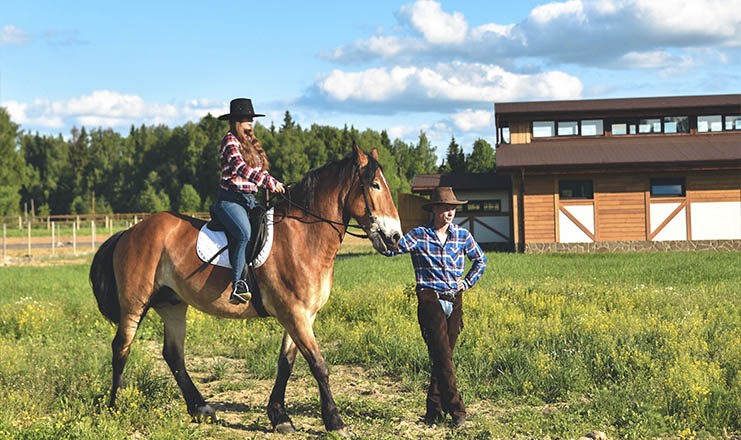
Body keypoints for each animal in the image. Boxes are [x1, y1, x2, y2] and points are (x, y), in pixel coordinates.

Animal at [90, 146, 402, 434]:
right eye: (375, 185)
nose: (395, 237)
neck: (303, 237)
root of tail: (130, 231)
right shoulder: (295, 314)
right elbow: (318, 365)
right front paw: (335, 422)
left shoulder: (302, 316)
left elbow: (286, 363)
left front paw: (280, 416)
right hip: (134, 303)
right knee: (122, 347)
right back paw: (115, 406)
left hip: (173, 304)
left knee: (173, 354)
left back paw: (200, 408)